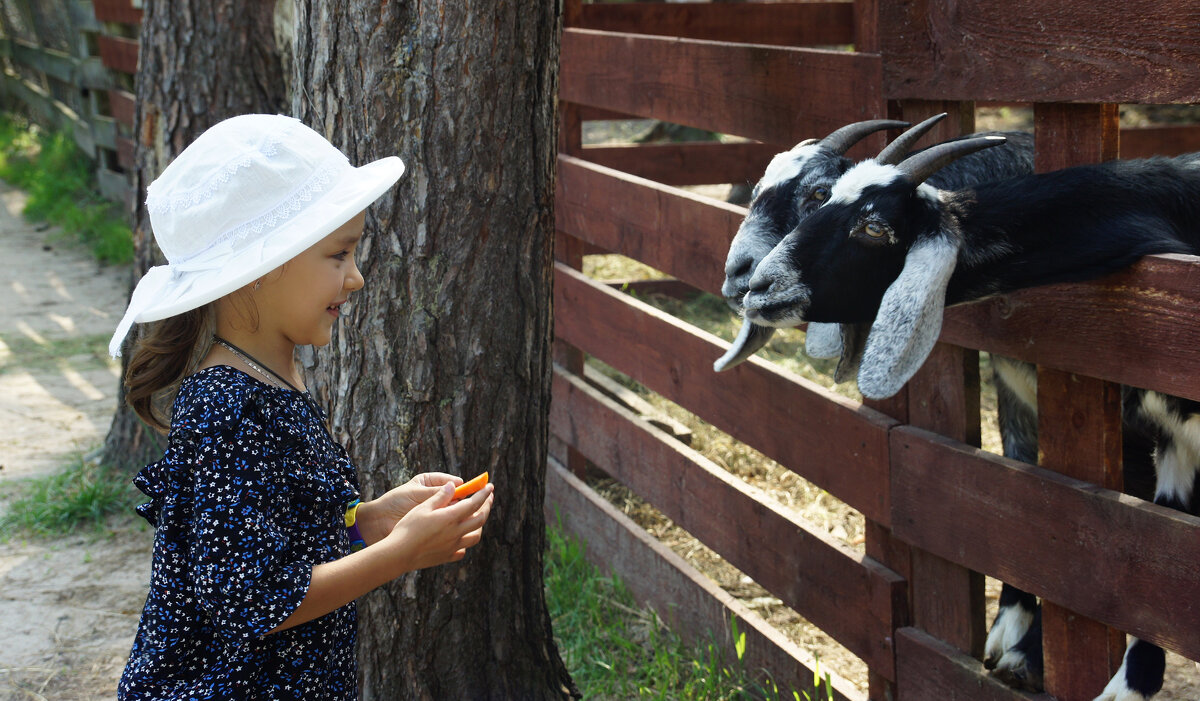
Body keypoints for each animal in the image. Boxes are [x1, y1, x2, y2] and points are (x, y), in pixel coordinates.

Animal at [744, 132, 1195, 701]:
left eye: (873, 227)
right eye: (826, 200)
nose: (757, 286)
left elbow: (1155, 561)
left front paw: (1128, 682)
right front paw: (1018, 642)